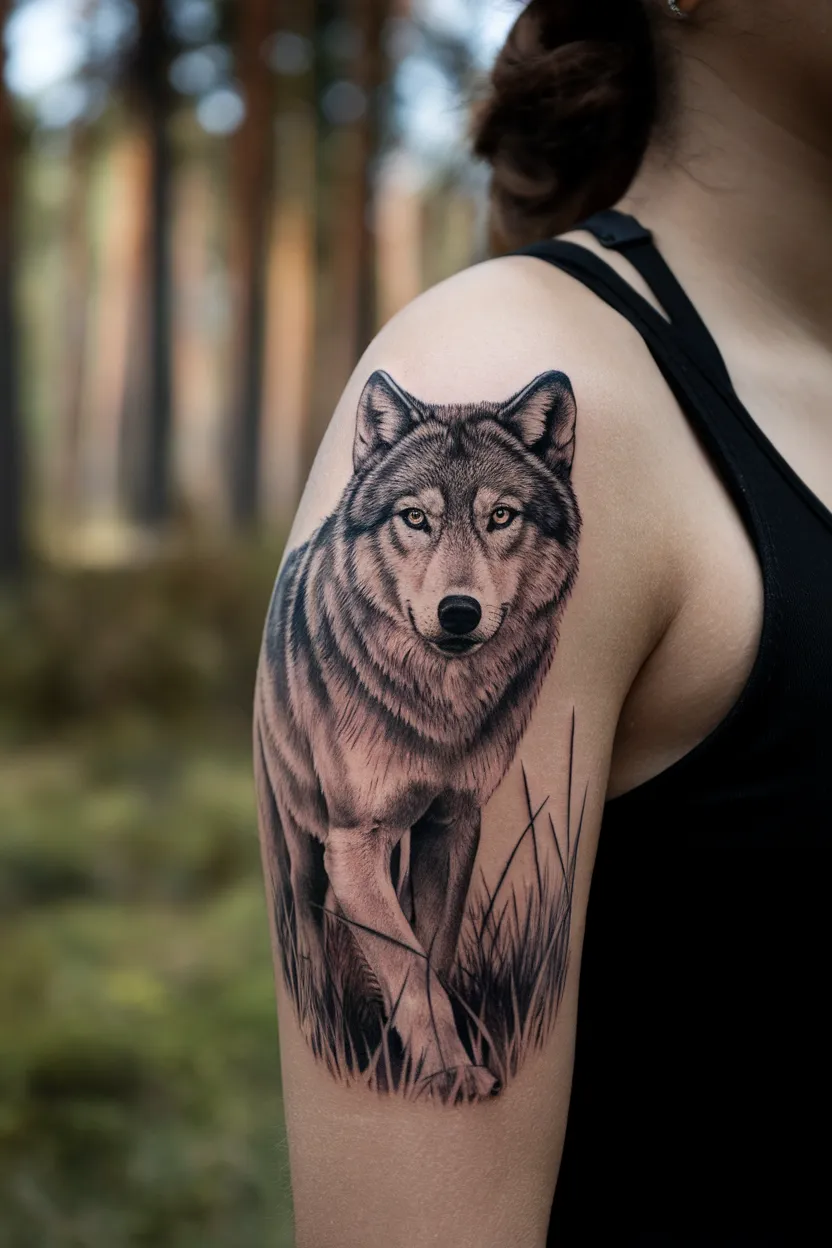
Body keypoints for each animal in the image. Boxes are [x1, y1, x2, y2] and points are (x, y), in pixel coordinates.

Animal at [255, 368, 581, 1102]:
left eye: (501, 517)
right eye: (415, 518)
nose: (458, 612)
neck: (439, 710)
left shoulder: (454, 823)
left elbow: (433, 954)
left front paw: (431, 1063)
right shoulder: (353, 843)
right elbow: (407, 967)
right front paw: (453, 1076)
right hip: (298, 841)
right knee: (306, 928)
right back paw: (329, 1018)